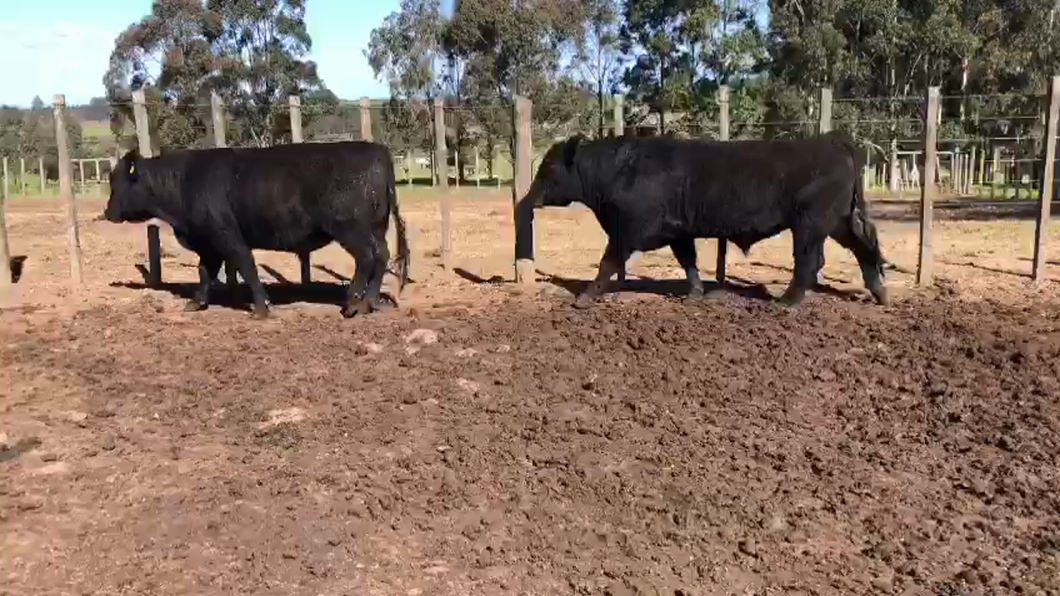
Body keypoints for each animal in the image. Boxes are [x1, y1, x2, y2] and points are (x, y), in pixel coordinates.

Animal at [103, 141, 409, 318]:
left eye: (118, 182)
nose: (107, 212)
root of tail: (377, 149)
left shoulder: (228, 236)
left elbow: (246, 266)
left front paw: (261, 308)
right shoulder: (210, 244)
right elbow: (204, 272)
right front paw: (196, 303)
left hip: (350, 228)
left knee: (367, 257)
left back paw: (353, 305)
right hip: (375, 228)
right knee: (381, 256)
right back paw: (370, 302)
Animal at [513, 130, 886, 305]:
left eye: (549, 167)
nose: (530, 198)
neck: (621, 169)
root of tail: (834, 142)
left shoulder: (626, 231)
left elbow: (607, 263)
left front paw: (585, 297)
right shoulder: (678, 231)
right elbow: (688, 260)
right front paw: (695, 293)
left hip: (811, 224)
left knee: (810, 260)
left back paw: (787, 301)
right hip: (839, 221)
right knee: (865, 248)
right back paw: (880, 292)